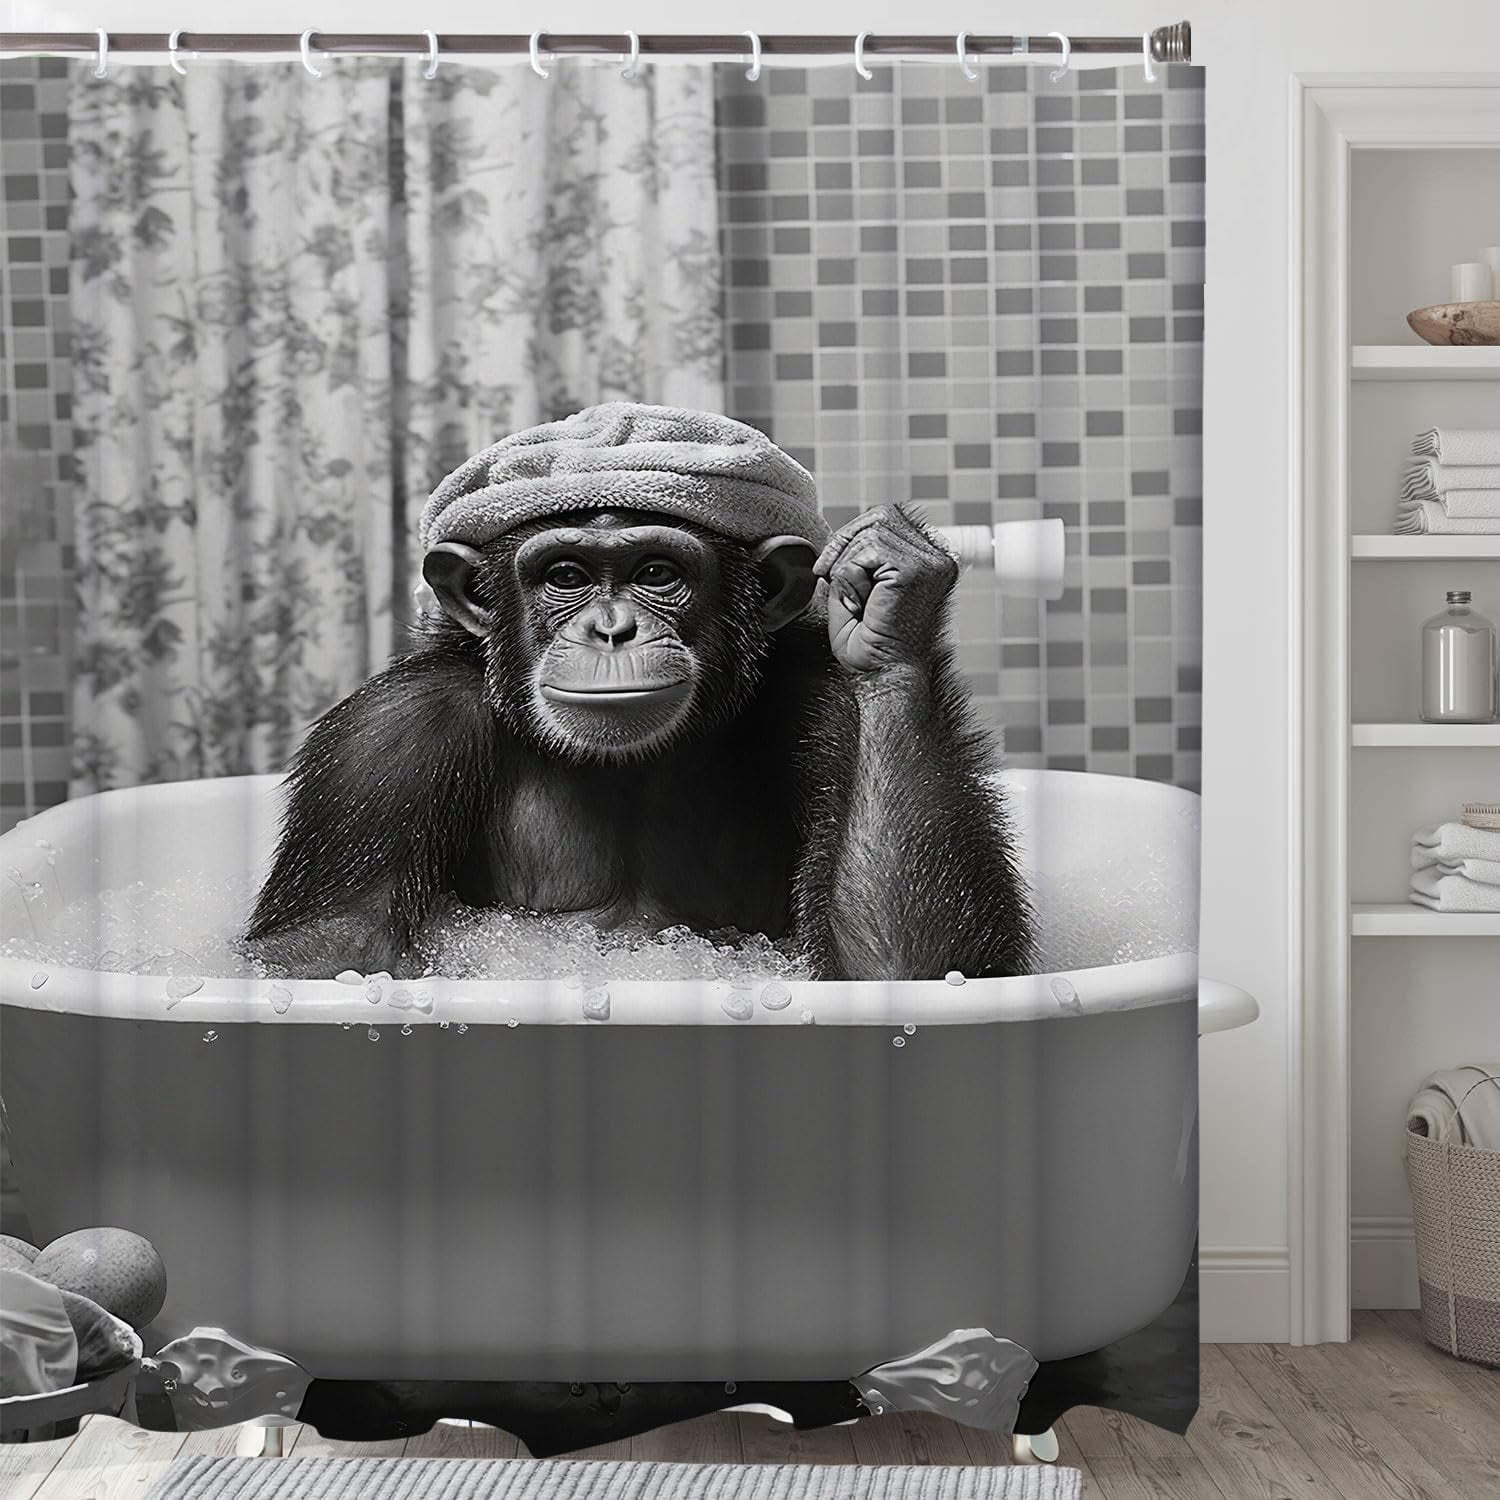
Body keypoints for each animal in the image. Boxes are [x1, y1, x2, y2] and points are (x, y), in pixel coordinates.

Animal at [245, 407, 1032, 982]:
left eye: (656, 572)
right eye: (565, 575)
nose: (612, 629)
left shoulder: (830, 700)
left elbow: (907, 963)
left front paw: (888, 599)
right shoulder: (386, 741)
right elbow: (330, 950)